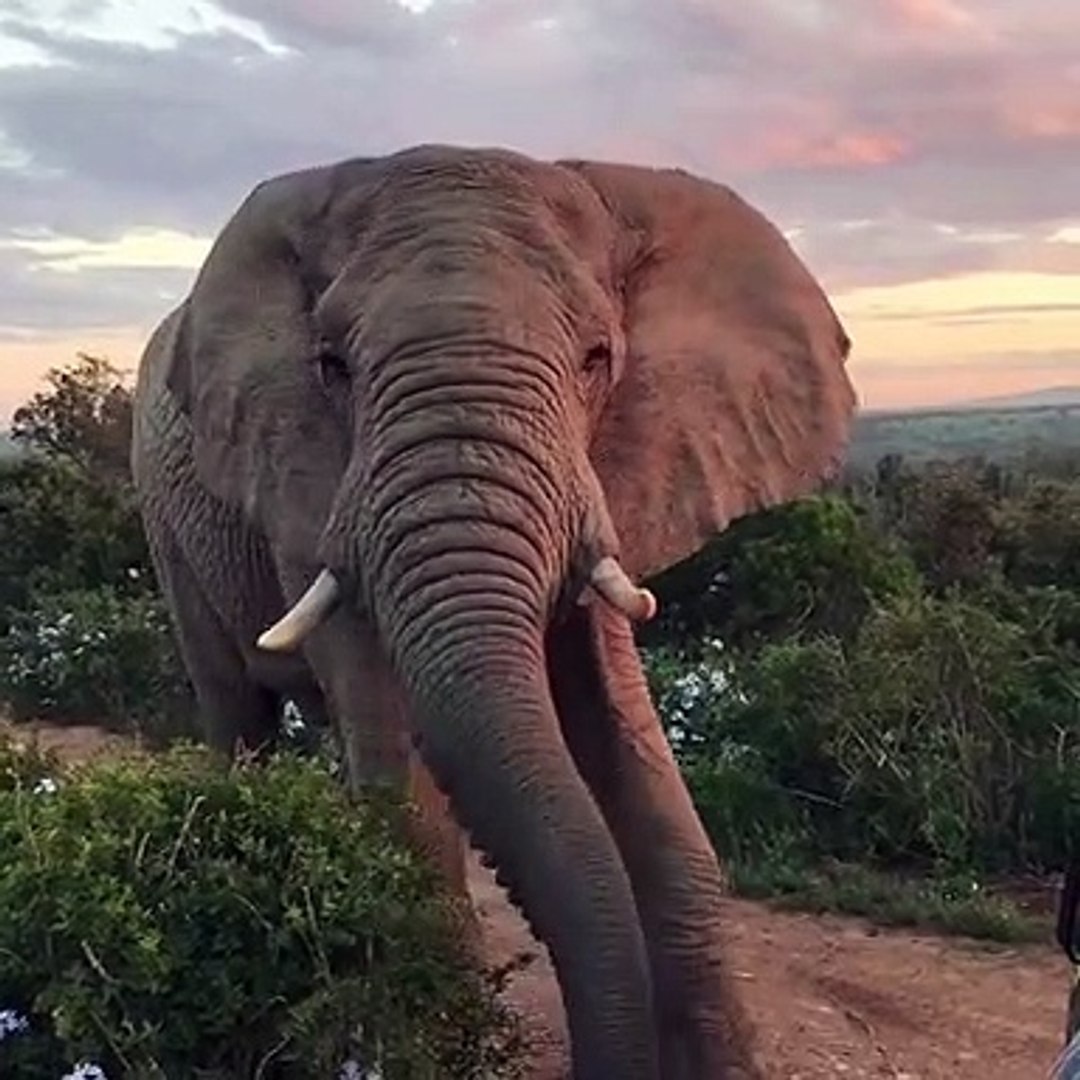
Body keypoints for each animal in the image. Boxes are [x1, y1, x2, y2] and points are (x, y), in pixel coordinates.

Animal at [130, 145, 851, 1080]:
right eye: (331, 366)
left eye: (598, 357)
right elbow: (398, 765)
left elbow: (631, 744)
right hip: (163, 519)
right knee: (235, 709)